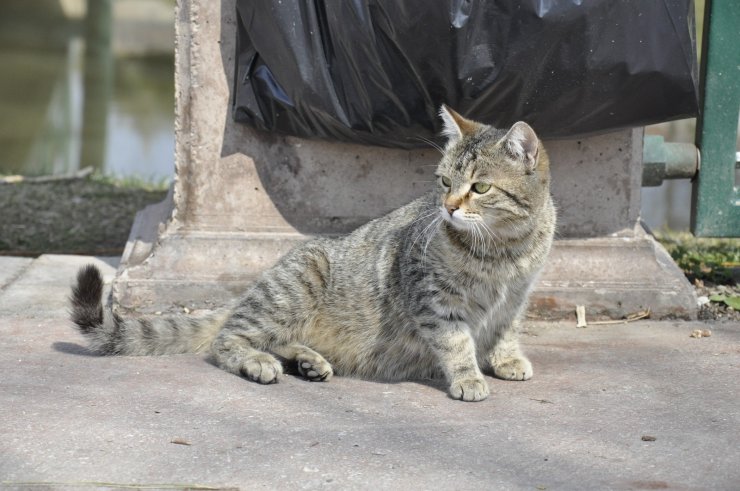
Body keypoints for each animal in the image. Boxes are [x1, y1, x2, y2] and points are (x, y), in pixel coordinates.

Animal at [71, 105, 556, 402]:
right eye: (444, 182)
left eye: (480, 187)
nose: (448, 207)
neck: (505, 248)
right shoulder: (434, 299)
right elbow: (456, 341)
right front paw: (469, 375)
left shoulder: (517, 297)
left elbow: (506, 329)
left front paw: (505, 358)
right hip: (294, 288)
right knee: (229, 339)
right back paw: (261, 362)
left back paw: (307, 361)